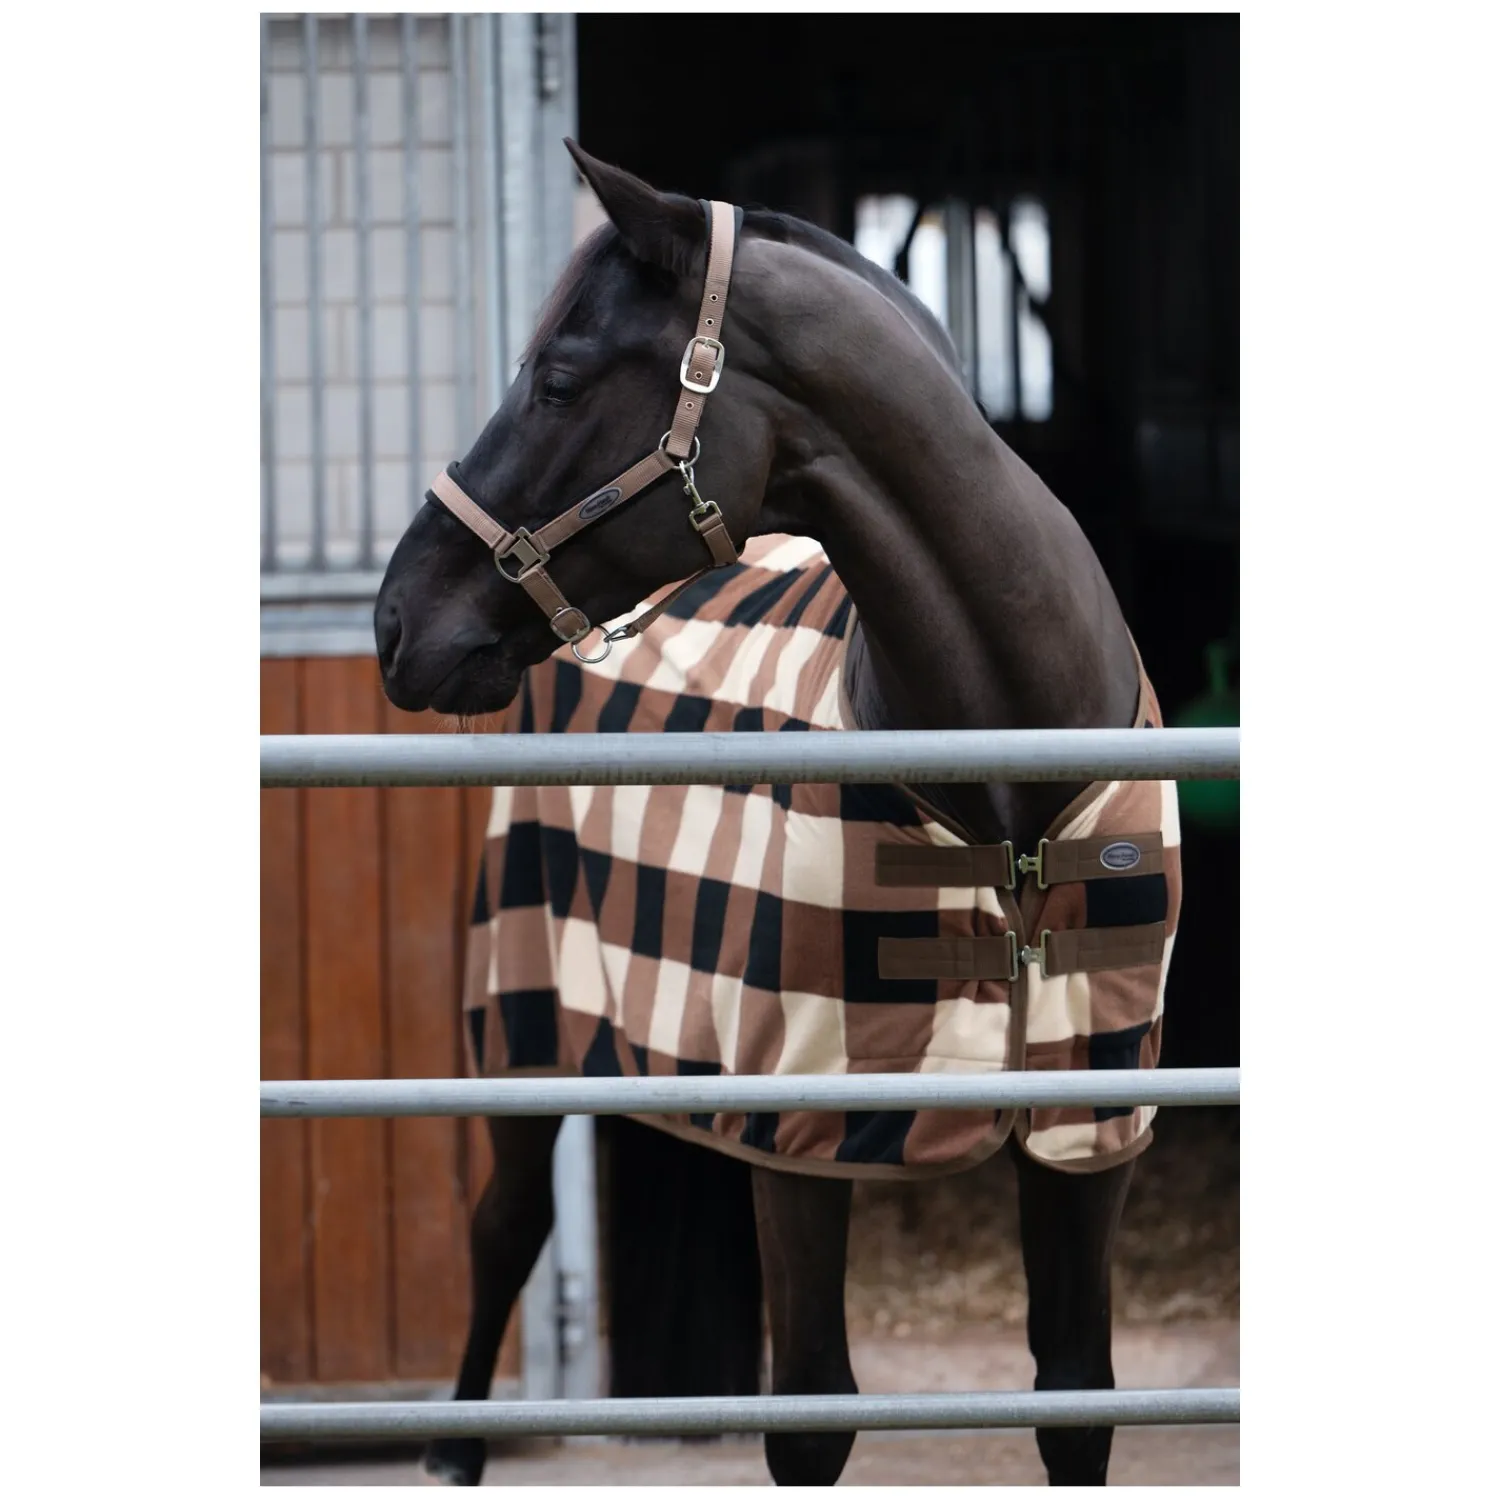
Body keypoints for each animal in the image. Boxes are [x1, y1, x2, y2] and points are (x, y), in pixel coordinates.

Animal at [374, 141, 1180, 1487]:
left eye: (560, 379)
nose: (396, 623)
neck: (1004, 782)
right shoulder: (804, 1117)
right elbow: (811, 1415)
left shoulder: (1088, 1121)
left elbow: (1076, 1403)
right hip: (527, 1034)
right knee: (503, 1234)